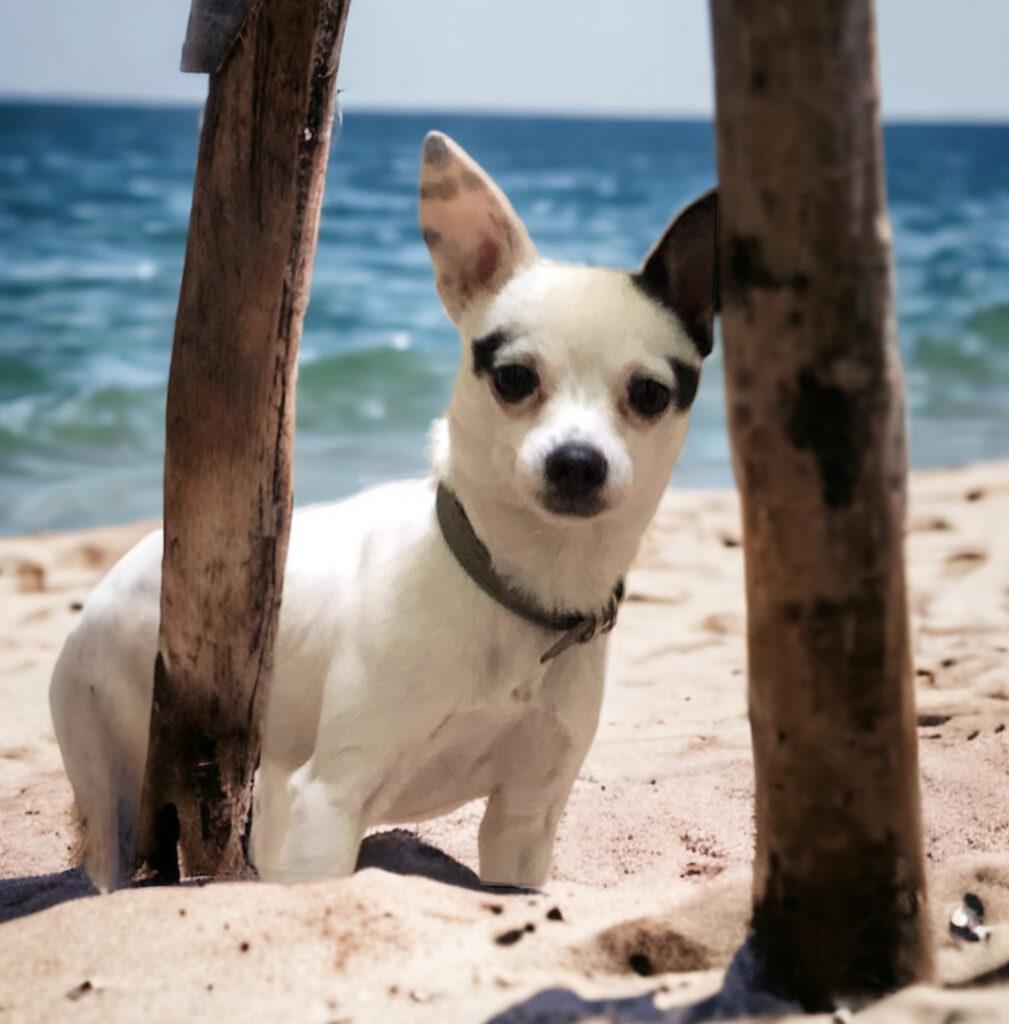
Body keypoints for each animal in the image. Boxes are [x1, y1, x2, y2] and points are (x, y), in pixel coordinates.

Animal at [49, 134, 717, 888]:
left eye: (650, 394)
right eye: (515, 379)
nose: (576, 460)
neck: (508, 587)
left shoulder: (524, 821)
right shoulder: (326, 805)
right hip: (115, 778)